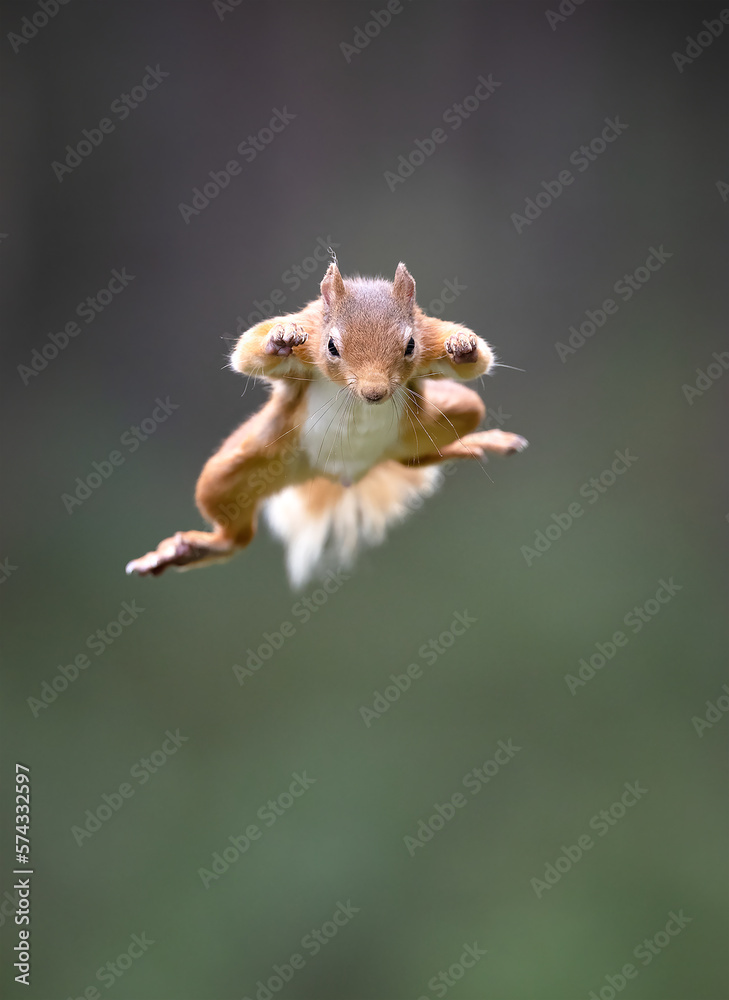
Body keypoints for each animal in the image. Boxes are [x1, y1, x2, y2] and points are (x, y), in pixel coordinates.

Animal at [126, 261, 528, 586]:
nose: (374, 393)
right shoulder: (309, 332)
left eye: (410, 346)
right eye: (332, 347)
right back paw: (188, 550)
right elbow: (246, 353)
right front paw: (279, 338)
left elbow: (478, 361)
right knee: (234, 536)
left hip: (446, 416)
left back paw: (476, 444)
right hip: (240, 468)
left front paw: (463, 346)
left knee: (415, 456)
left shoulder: (428, 333)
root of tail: (342, 474)